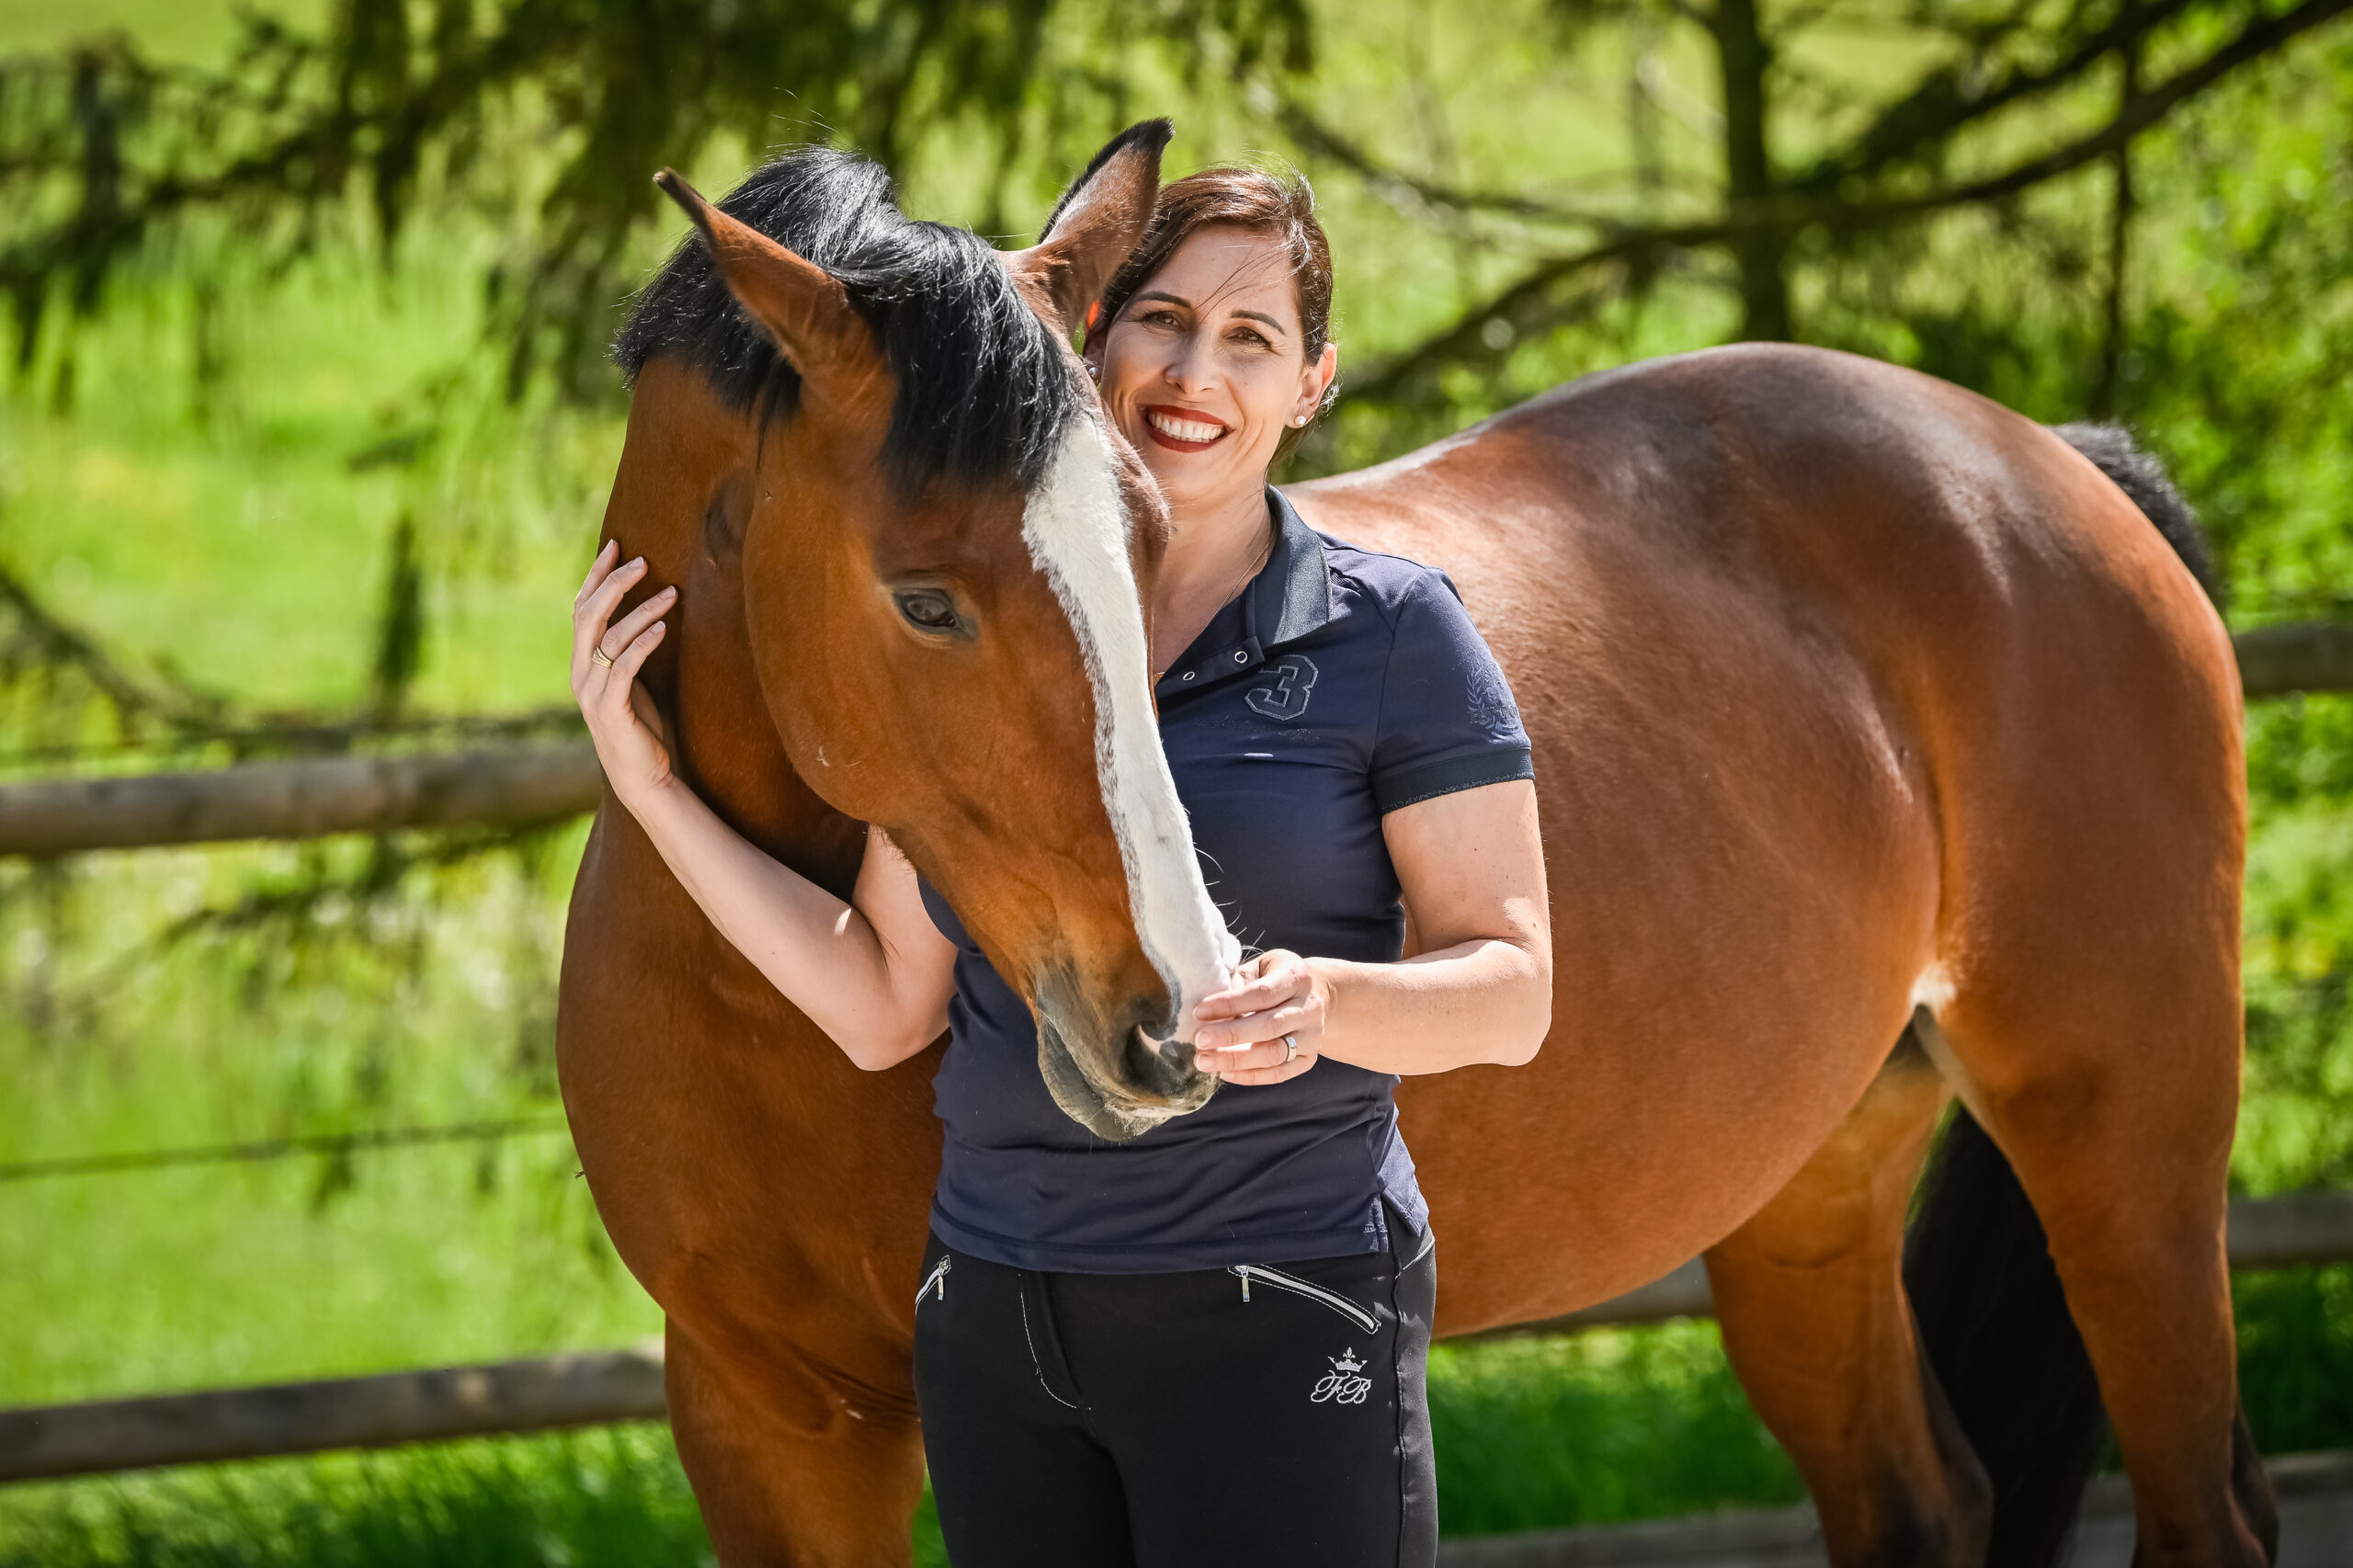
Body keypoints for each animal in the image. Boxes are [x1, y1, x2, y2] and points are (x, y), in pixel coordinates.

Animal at [555, 122, 2278, 1562]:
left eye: (1147, 543)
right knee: (1925, 1501)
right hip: (1814, 1199)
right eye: (922, 599)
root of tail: (2041, 468)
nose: (1170, 1016)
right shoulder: (766, 1419)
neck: (760, 1001)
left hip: (2128, 1159)